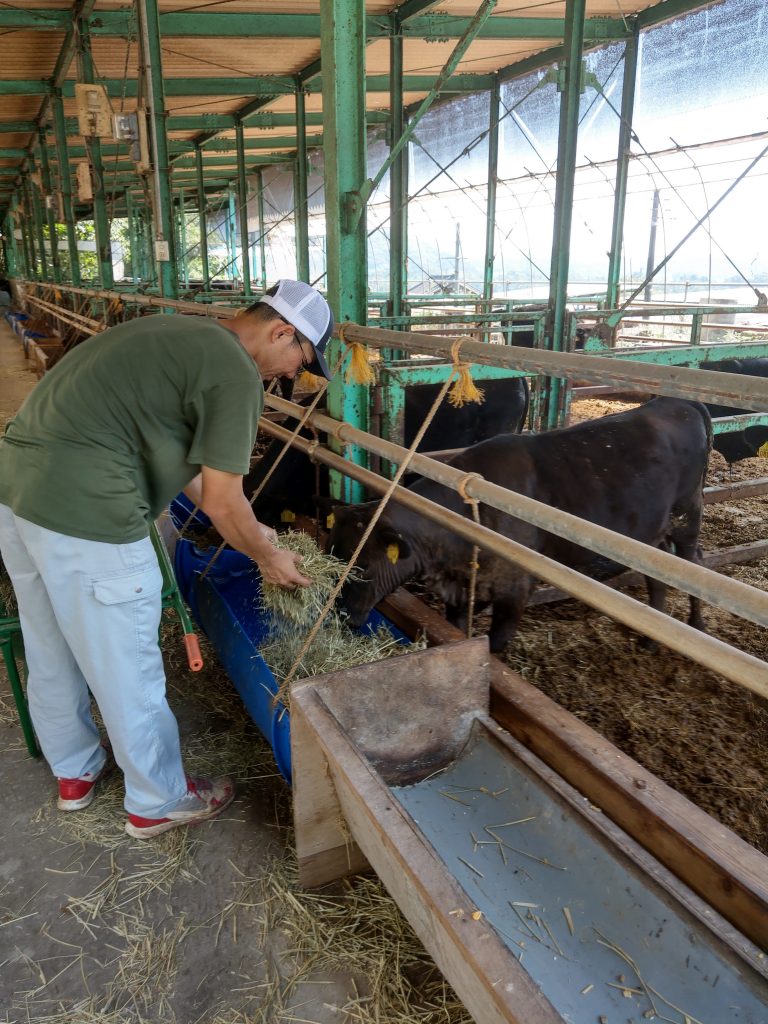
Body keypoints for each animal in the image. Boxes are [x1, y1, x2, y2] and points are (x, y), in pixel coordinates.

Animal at [327, 395, 712, 651]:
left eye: (363, 564)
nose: (341, 617)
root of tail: (676, 403)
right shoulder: (462, 593)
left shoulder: (514, 591)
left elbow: (496, 645)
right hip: (651, 538)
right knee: (658, 577)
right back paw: (651, 641)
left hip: (687, 516)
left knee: (696, 563)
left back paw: (697, 624)